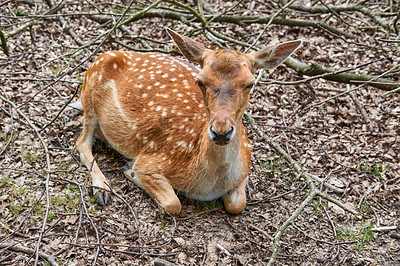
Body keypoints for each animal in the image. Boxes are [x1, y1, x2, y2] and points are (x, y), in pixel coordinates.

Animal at [75, 28, 302, 216]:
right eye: (200, 81)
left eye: (249, 84)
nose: (221, 131)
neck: (208, 183)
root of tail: (106, 54)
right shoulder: (152, 160)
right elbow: (173, 204)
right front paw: (130, 171)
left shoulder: (246, 163)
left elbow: (237, 204)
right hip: (89, 95)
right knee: (82, 142)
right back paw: (102, 188)